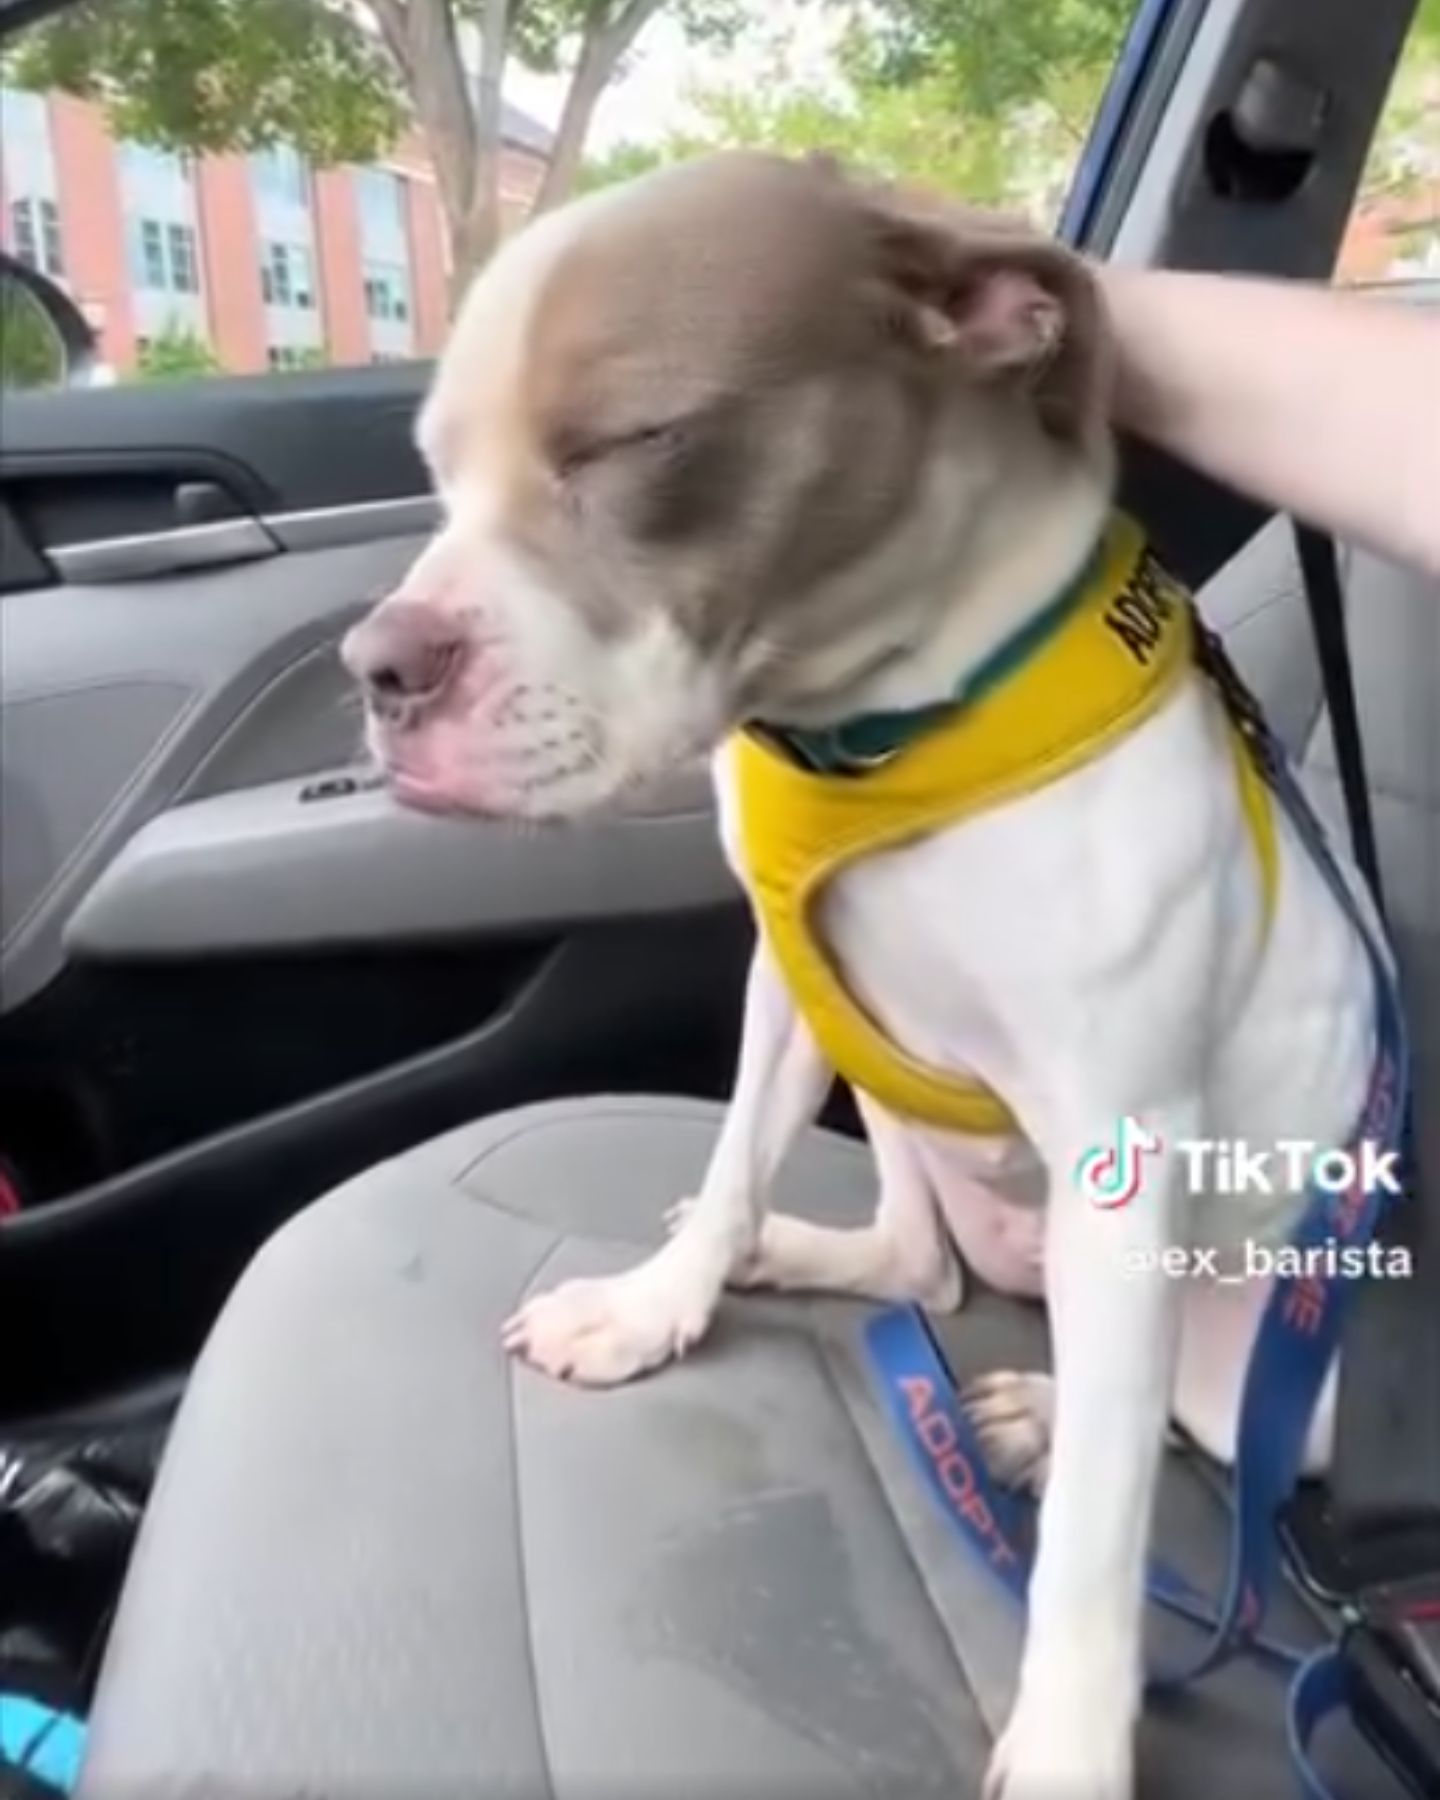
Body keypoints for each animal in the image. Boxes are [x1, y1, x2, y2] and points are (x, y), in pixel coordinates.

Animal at [343, 158, 1375, 1800]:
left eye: (630, 440)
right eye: (435, 465)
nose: (376, 665)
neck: (886, 733)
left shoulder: (1122, 1143)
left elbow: (1097, 1533)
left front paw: (1071, 1735)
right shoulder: (788, 986)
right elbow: (737, 1161)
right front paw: (660, 1302)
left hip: (1270, 1351)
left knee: (1165, 1417)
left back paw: (1039, 1416)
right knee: (917, 1264)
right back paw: (805, 1259)